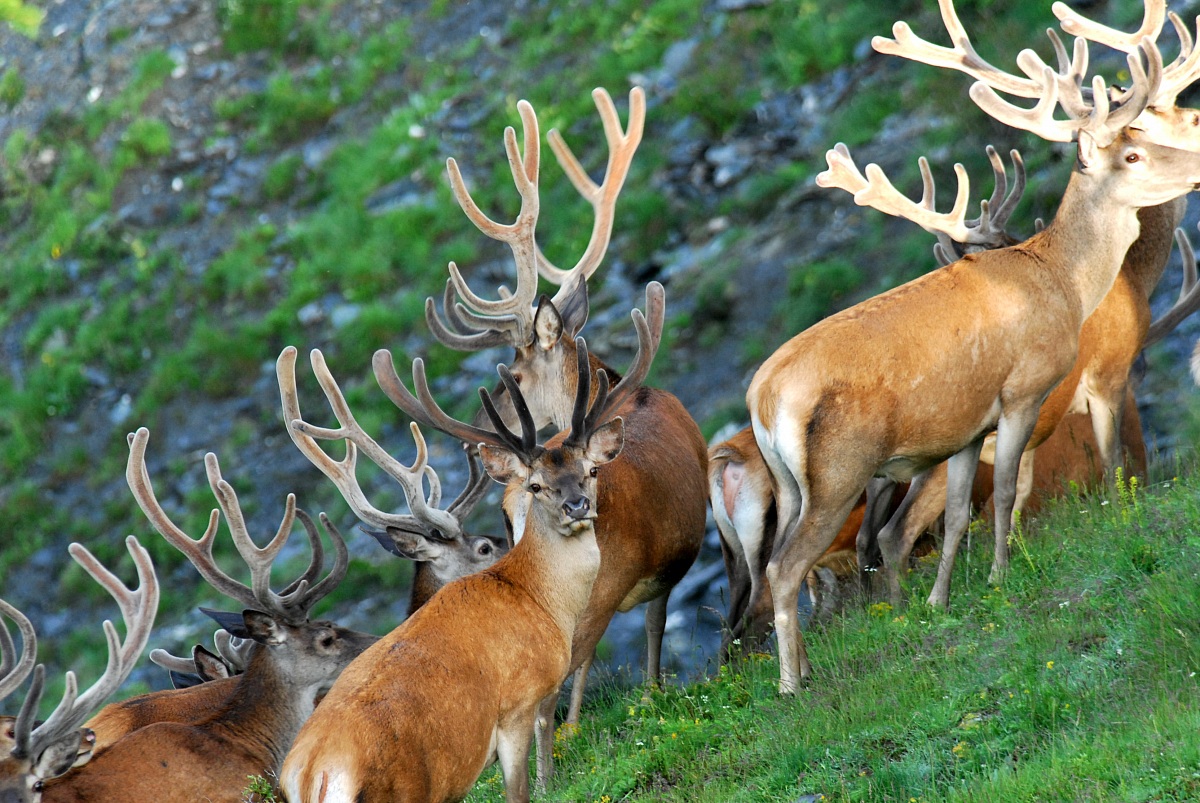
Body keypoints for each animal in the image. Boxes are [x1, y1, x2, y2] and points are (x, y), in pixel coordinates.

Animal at [748, 4, 1200, 692]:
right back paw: (791, 684)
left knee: (800, 561)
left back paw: (805, 665)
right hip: (840, 472)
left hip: (791, 484)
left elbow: (961, 512)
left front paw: (940, 602)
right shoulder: (1025, 390)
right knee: (786, 567)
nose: (1198, 166)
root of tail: (762, 398)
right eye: (1133, 151)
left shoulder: (963, 429)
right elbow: (1016, 488)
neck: (1062, 281)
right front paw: (1001, 575)